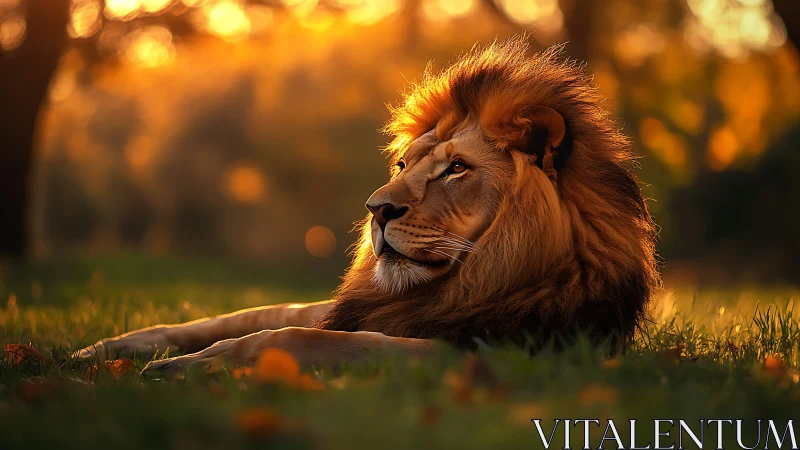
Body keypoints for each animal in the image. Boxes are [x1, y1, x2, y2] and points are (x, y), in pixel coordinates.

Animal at [75, 37, 660, 376]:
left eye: (456, 169)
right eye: (403, 165)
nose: (376, 209)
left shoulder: (485, 349)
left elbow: (302, 337)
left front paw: (196, 365)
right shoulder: (356, 307)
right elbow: (254, 314)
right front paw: (103, 350)